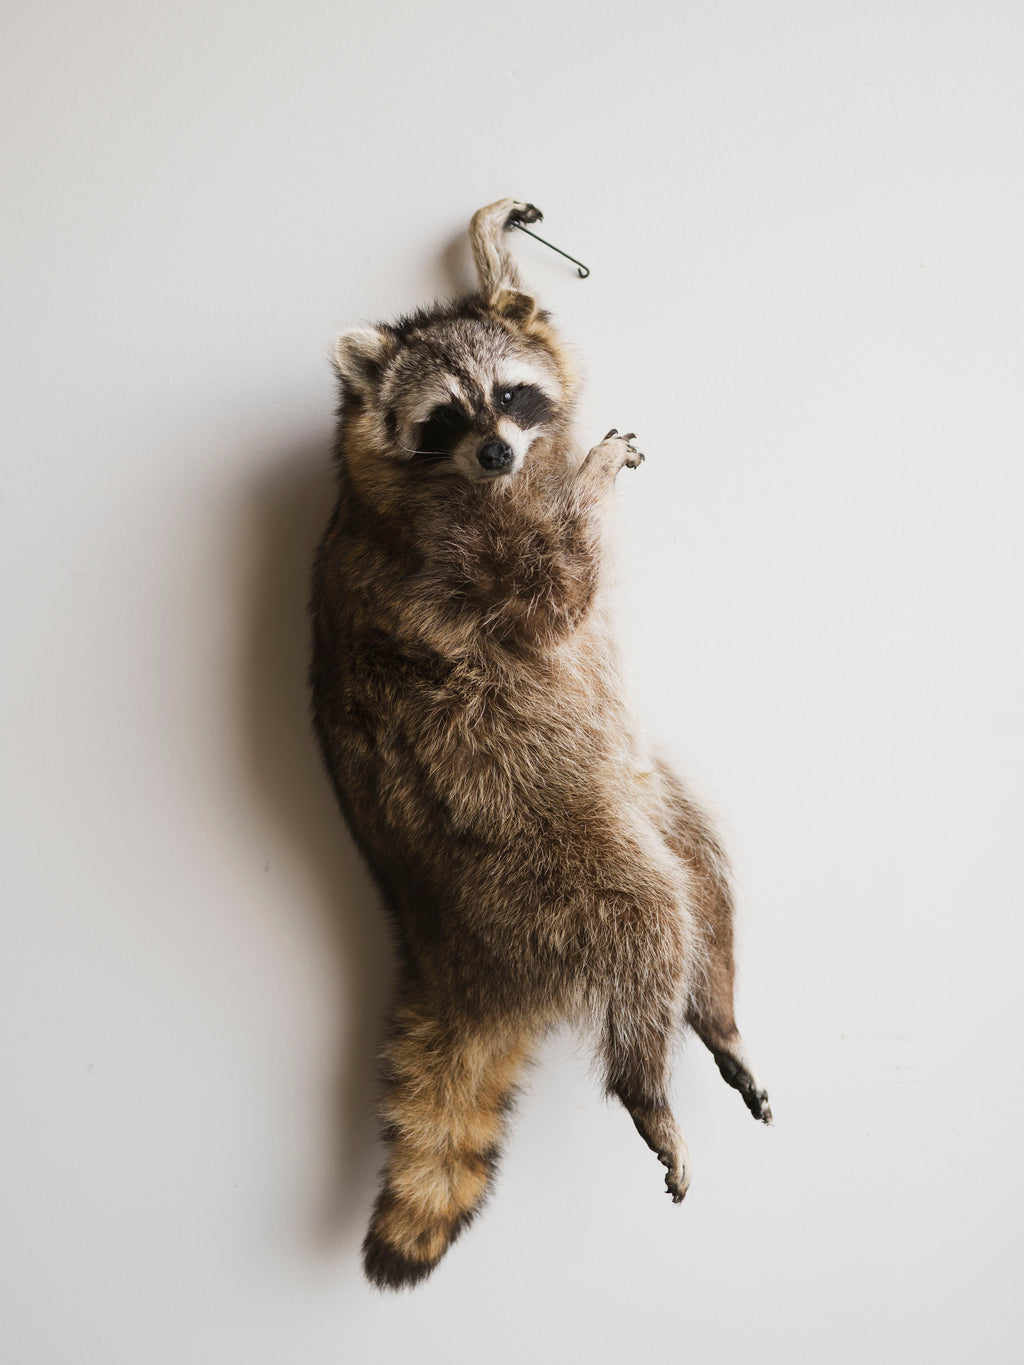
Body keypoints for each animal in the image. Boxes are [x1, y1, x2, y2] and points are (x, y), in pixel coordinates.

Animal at [308, 198, 771, 1291]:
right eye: (446, 417)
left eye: (511, 397)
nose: (496, 456)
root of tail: (443, 943)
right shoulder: (457, 550)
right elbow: (559, 591)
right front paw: (593, 478)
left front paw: (493, 262)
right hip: (537, 853)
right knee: (646, 921)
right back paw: (649, 1082)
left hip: (634, 798)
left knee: (705, 877)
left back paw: (716, 1009)